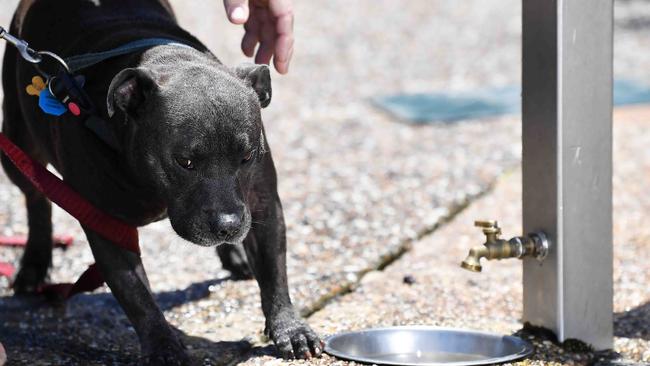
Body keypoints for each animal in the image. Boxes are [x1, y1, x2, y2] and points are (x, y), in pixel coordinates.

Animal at [2, 0, 320, 364]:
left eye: (247, 156)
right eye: (185, 161)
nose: (228, 225)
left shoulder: (261, 203)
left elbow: (273, 268)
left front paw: (289, 328)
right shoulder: (107, 227)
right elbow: (137, 296)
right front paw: (165, 347)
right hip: (16, 145)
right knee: (35, 197)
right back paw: (33, 264)